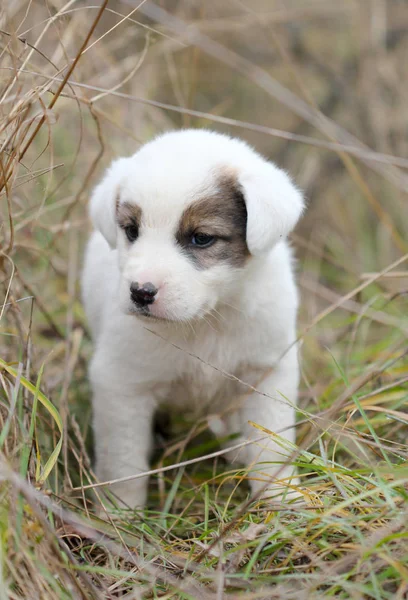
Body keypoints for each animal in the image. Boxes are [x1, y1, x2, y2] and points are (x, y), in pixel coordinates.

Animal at [81, 130, 304, 506]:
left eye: (201, 238)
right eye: (131, 231)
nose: (141, 292)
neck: (205, 321)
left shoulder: (267, 370)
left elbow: (271, 443)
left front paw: (282, 500)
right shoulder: (122, 384)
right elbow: (123, 463)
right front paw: (119, 513)